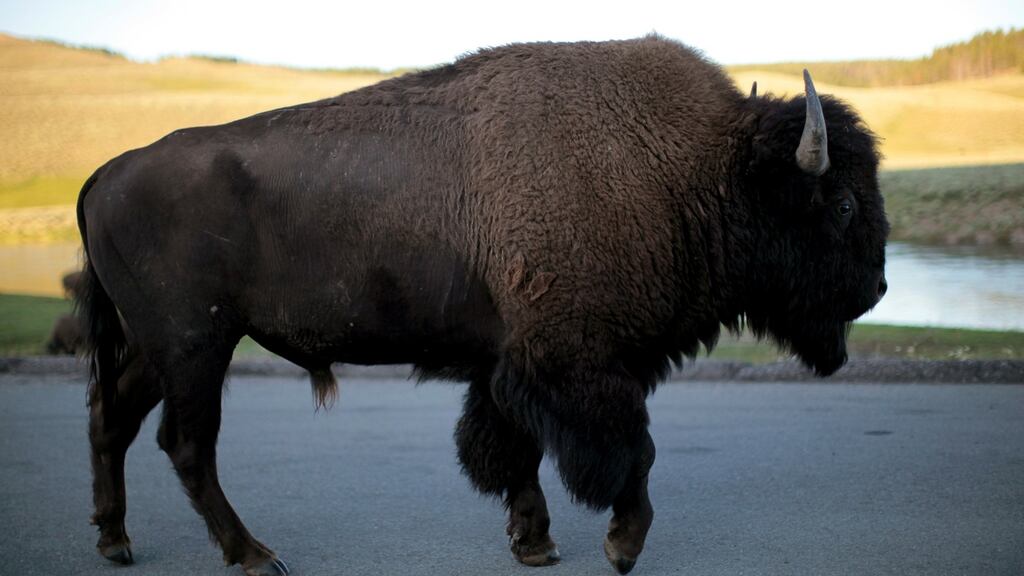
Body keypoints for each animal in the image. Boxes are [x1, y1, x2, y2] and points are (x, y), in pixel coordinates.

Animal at [77, 36, 887, 575]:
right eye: (844, 204)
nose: (877, 289)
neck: (696, 171)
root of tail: (103, 177)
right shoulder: (580, 365)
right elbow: (633, 451)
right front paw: (621, 546)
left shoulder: (508, 365)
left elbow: (510, 449)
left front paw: (536, 543)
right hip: (196, 349)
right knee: (186, 445)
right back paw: (253, 555)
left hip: (157, 350)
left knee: (113, 421)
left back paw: (116, 540)